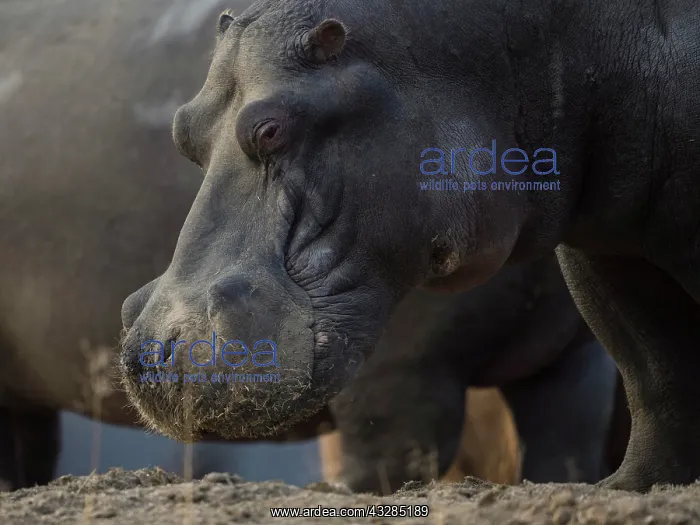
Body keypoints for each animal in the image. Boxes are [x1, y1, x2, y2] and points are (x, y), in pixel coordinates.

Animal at [119, 0, 700, 493]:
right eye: (182, 130)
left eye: (269, 129)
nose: (152, 350)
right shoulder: (602, 248)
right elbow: (651, 366)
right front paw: (634, 487)